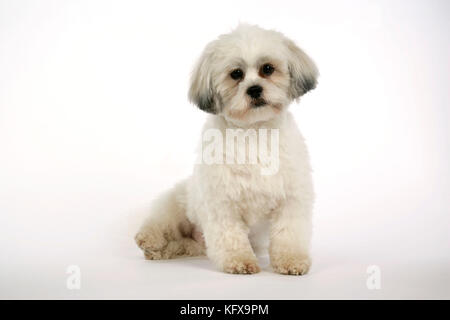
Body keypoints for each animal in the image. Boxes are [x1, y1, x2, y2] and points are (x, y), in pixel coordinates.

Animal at [135, 24, 318, 276]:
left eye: (267, 69)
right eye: (236, 74)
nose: (254, 89)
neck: (253, 132)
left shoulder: (291, 198)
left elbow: (288, 234)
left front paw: (291, 260)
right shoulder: (222, 202)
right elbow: (230, 236)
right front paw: (239, 261)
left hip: (192, 244)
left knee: (180, 245)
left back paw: (161, 250)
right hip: (175, 205)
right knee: (160, 223)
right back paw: (150, 240)